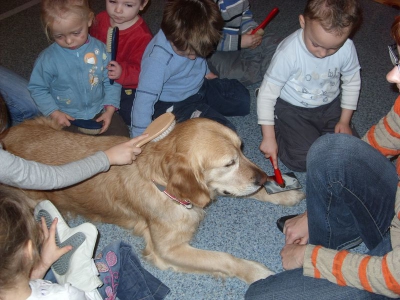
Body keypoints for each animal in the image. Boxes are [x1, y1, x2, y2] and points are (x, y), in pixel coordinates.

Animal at [2, 117, 304, 284]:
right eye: (229, 163)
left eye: (242, 149)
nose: (263, 177)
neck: (166, 187)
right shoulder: (167, 249)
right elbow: (224, 258)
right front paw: (256, 271)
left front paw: (284, 192)